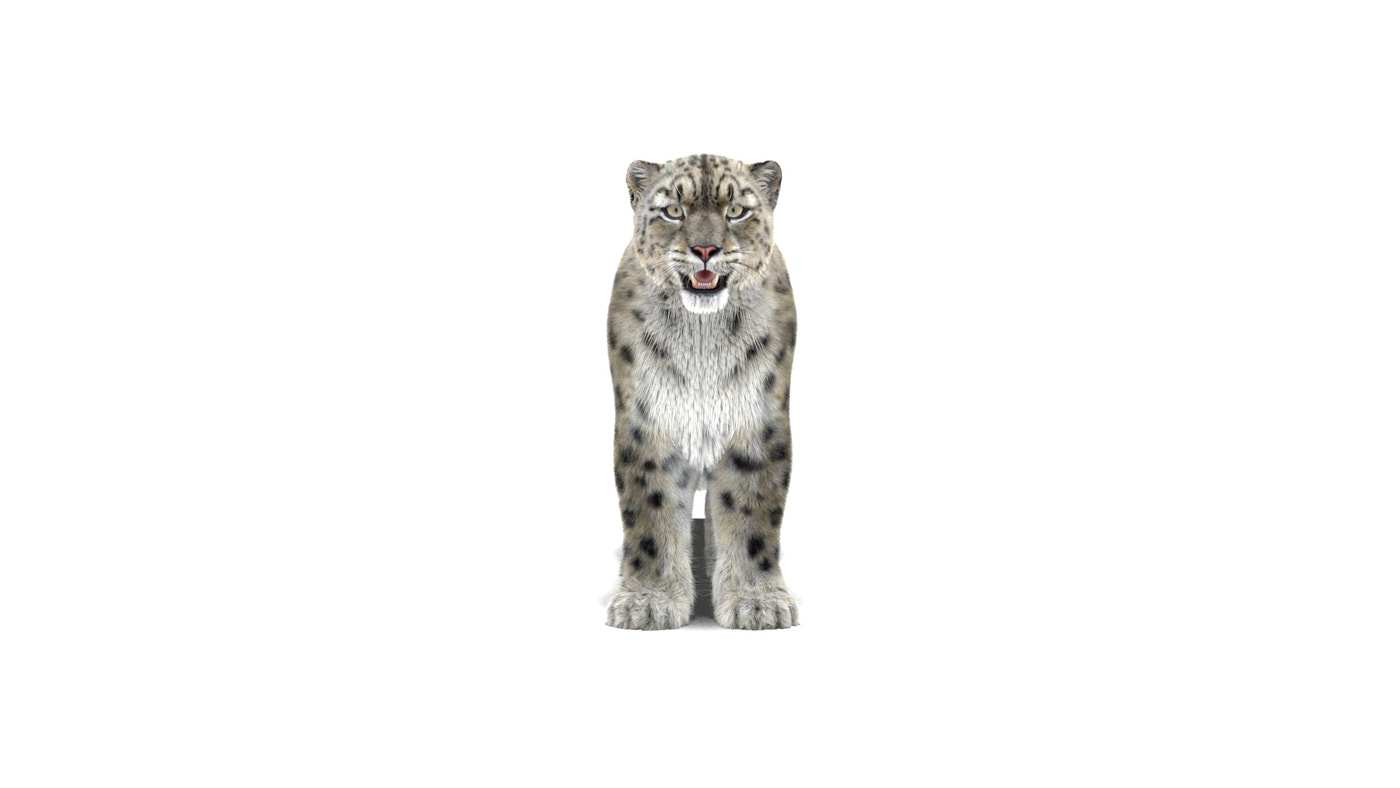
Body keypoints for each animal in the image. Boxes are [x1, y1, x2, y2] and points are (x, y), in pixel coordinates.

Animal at [605, 154, 799, 630]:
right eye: (674, 210)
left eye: (736, 211)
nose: (706, 250)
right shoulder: (649, 424)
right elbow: (651, 512)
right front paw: (647, 601)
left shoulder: (755, 424)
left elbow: (751, 512)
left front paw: (757, 601)